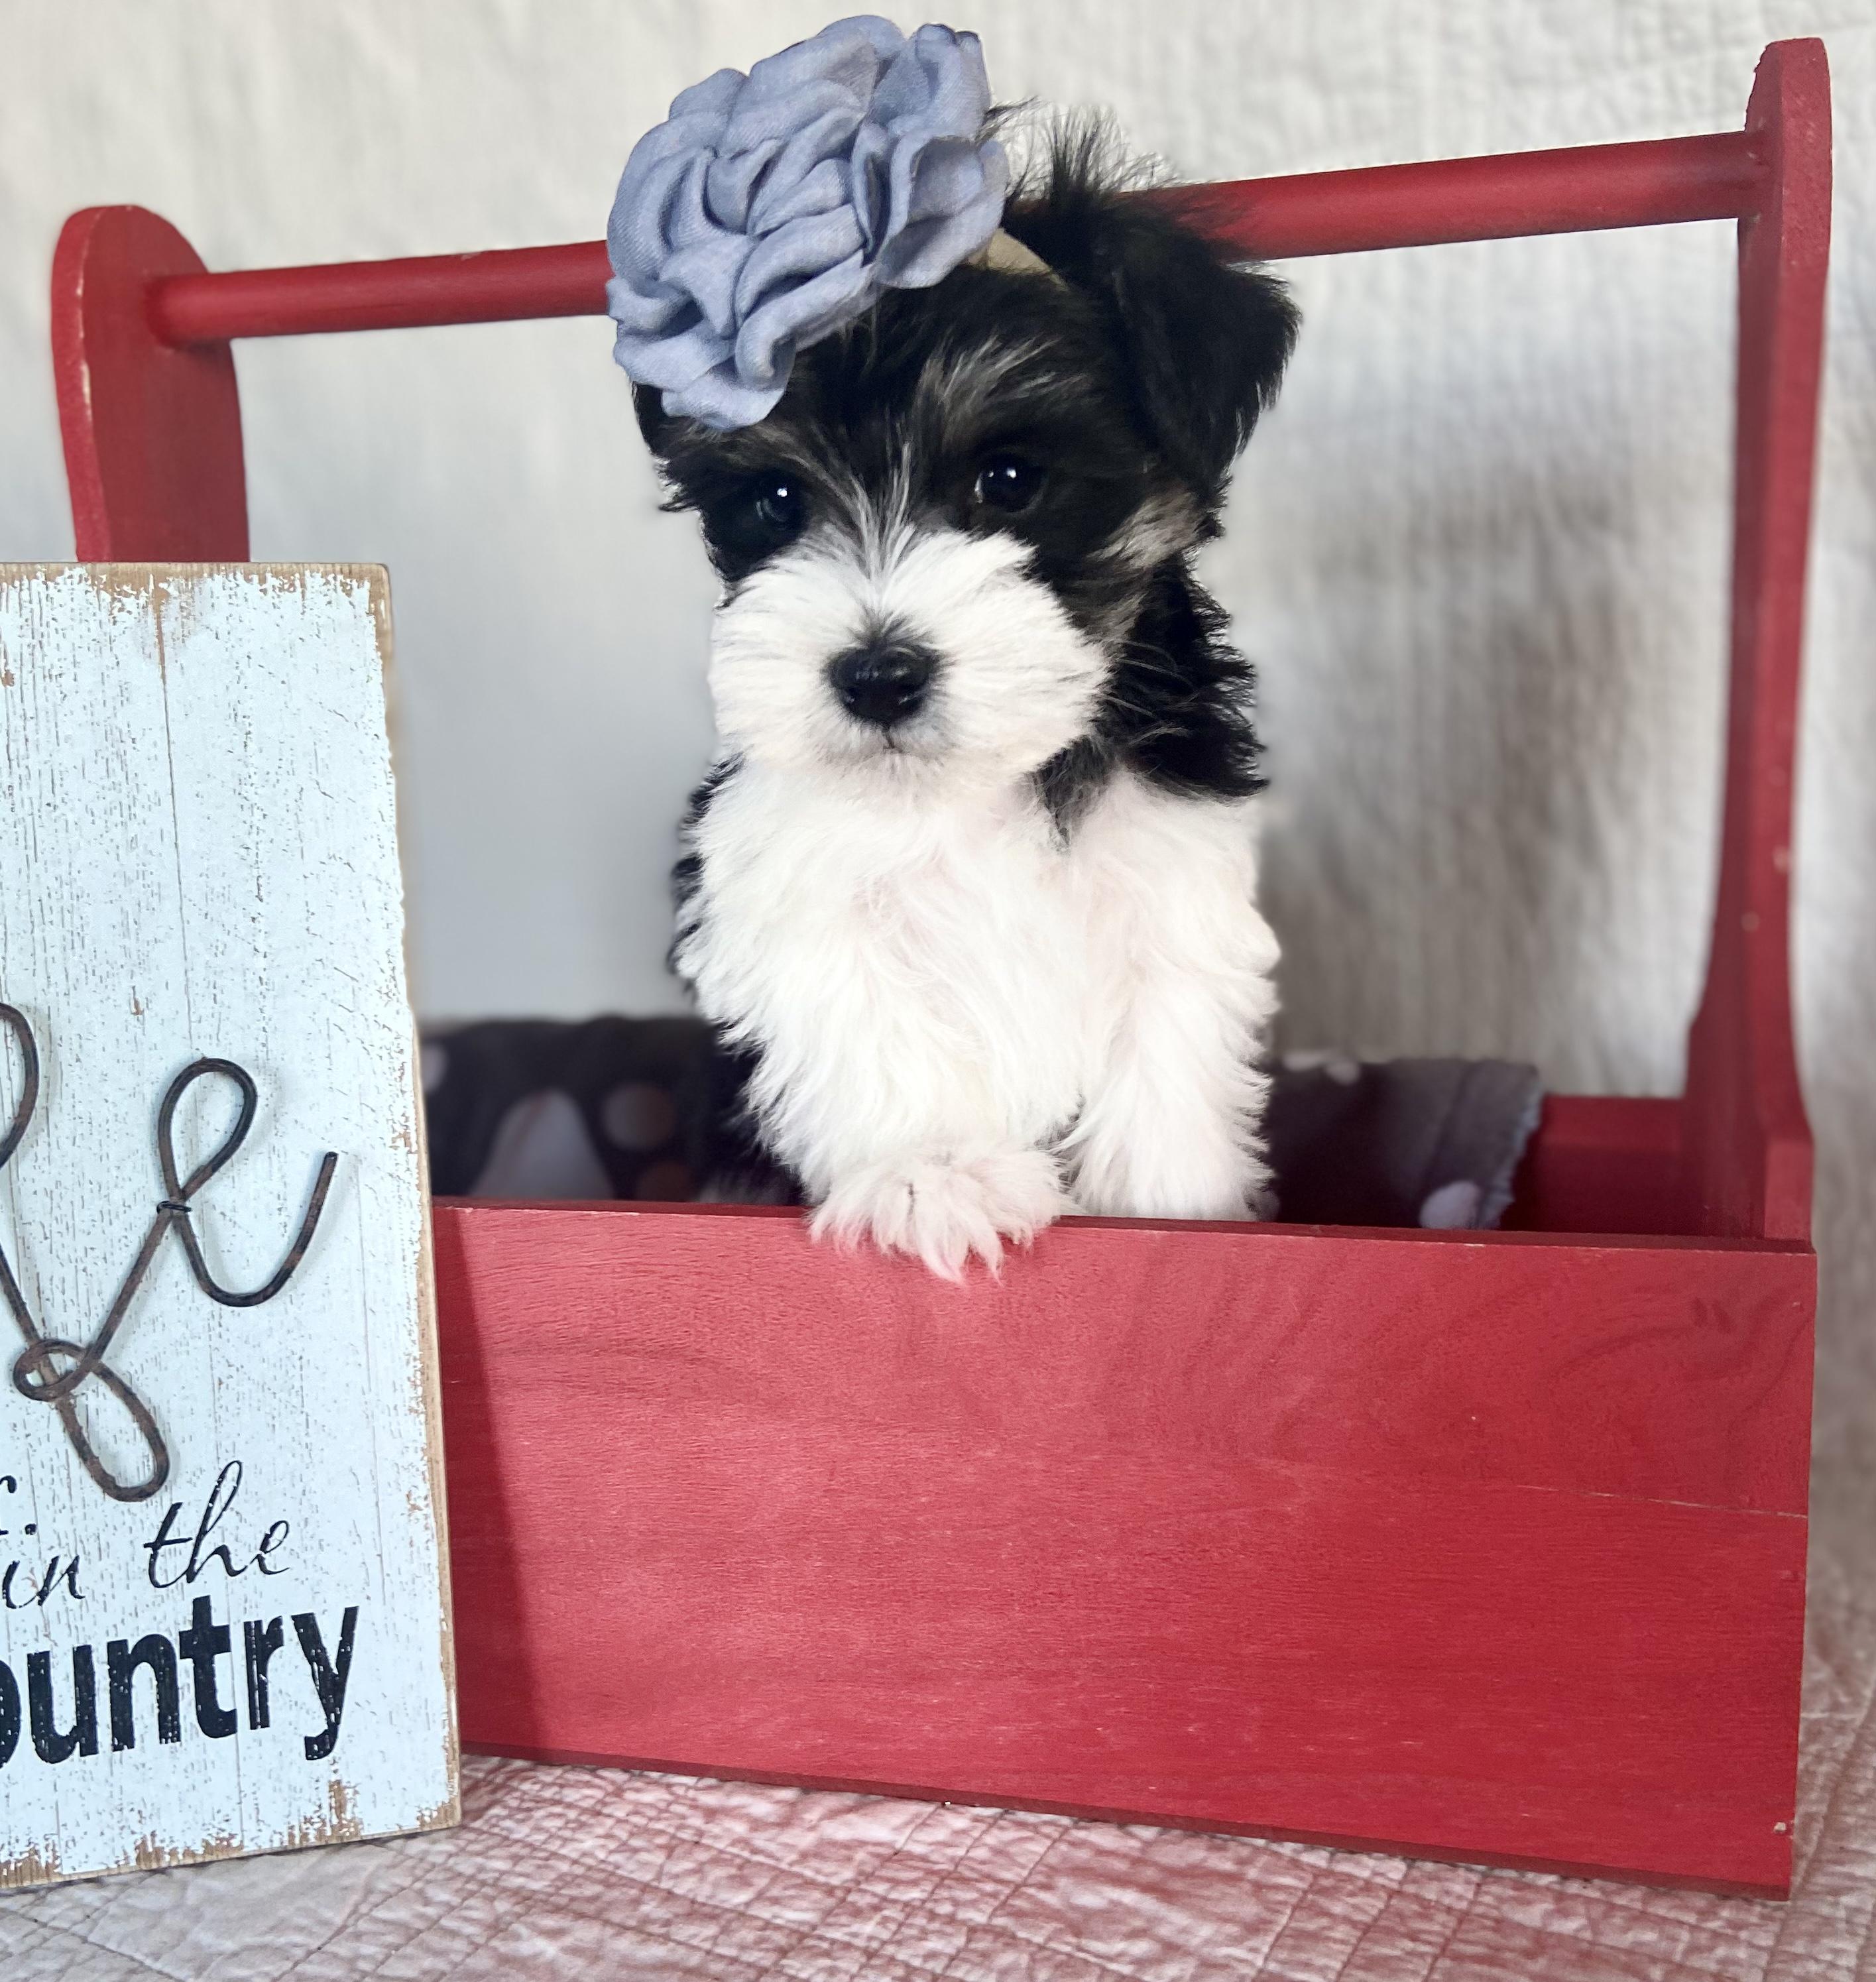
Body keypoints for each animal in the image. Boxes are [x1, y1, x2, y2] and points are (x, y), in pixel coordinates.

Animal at [633, 125, 1298, 1277]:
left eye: (1011, 479)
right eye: (773, 502)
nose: (876, 675)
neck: (972, 782)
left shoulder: (1169, 884)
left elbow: (1164, 1070)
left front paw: (1170, 1212)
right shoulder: (784, 882)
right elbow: (860, 1010)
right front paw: (933, 1169)